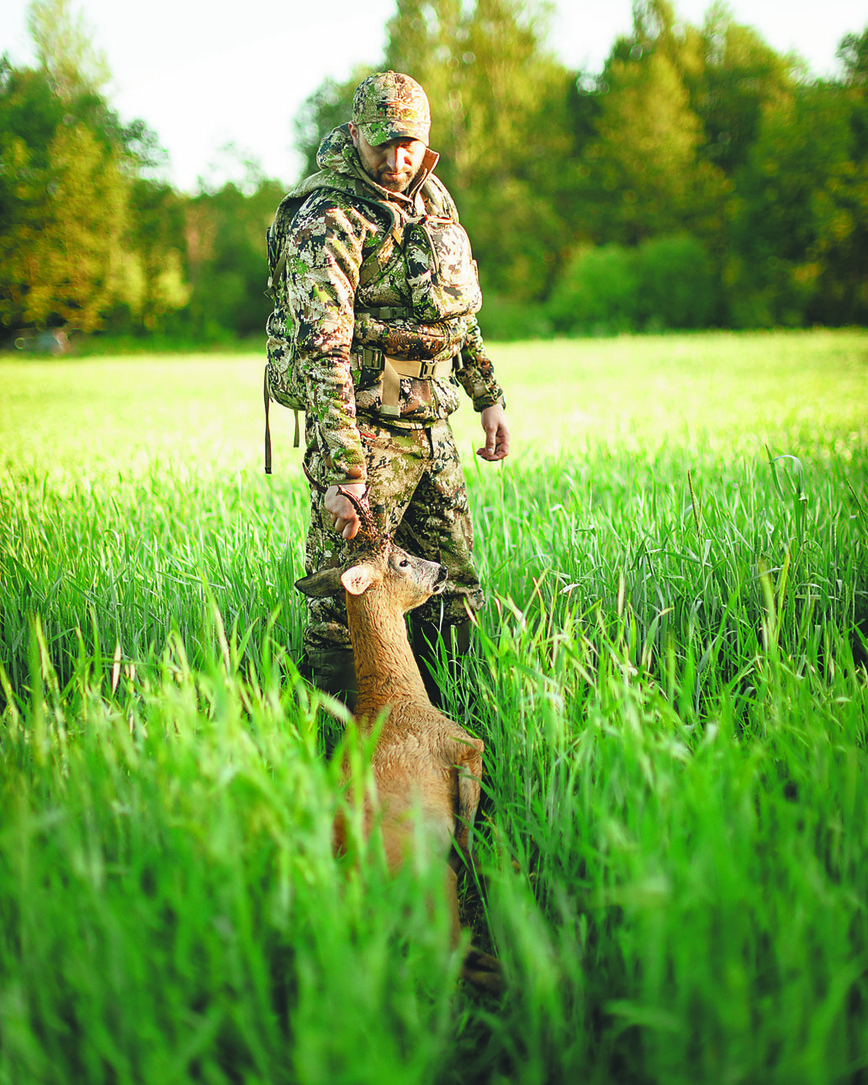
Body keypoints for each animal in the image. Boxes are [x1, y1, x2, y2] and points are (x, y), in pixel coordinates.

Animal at [297, 488, 505, 993]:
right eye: (403, 561)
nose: (443, 571)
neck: (393, 695)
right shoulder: (463, 745)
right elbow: (468, 822)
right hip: (431, 883)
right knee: (452, 961)